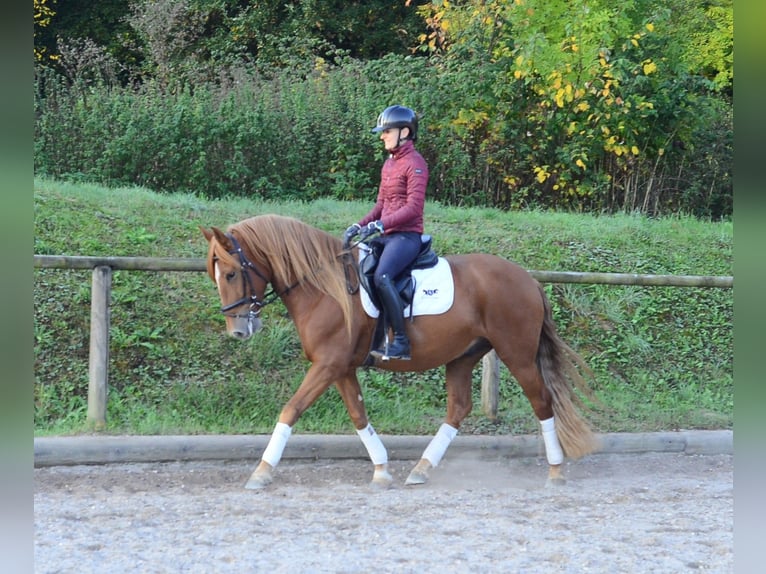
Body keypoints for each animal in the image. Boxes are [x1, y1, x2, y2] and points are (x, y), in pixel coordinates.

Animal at [200, 214, 599, 490]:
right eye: (214, 275)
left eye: (232, 274)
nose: (238, 331)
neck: (323, 287)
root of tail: (527, 278)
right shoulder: (340, 368)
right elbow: (358, 415)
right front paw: (381, 469)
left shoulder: (328, 365)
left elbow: (291, 409)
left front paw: (261, 471)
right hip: (463, 355)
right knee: (459, 408)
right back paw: (422, 468)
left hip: (516, 353)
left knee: (542, 402)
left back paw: (556, 471)